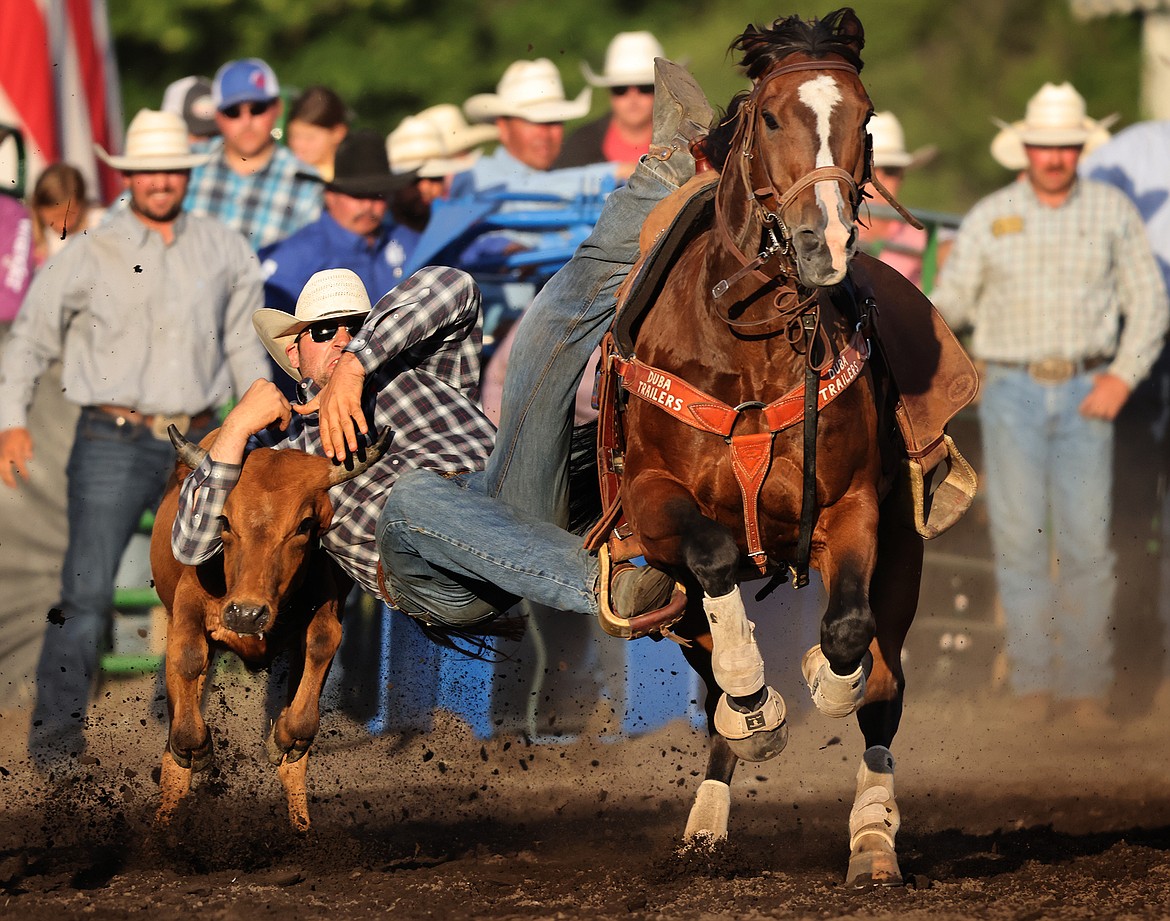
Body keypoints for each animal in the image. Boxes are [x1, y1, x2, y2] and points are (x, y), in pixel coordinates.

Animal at [148, 428, 386, 833]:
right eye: (224, 521)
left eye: (304, 526)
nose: (247, 614)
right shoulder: (187, 605)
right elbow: (188, 657)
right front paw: (194, 745)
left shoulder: (325, 600)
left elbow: (323, 643)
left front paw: (288, 735)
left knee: (294, 763)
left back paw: (301, 829)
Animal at [617, 7, 917, 884]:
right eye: (775, 118)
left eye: (865, 118)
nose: (825, 242)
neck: (747, 336)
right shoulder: (653, 498)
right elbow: (716, 561)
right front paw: (759, 700)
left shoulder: (851, 504)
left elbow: (848, 635)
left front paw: (824, 677)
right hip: (676, 597)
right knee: (711, 677)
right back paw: (708, 819)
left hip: (906, 558)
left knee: (886, 686)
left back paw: (873, 840)